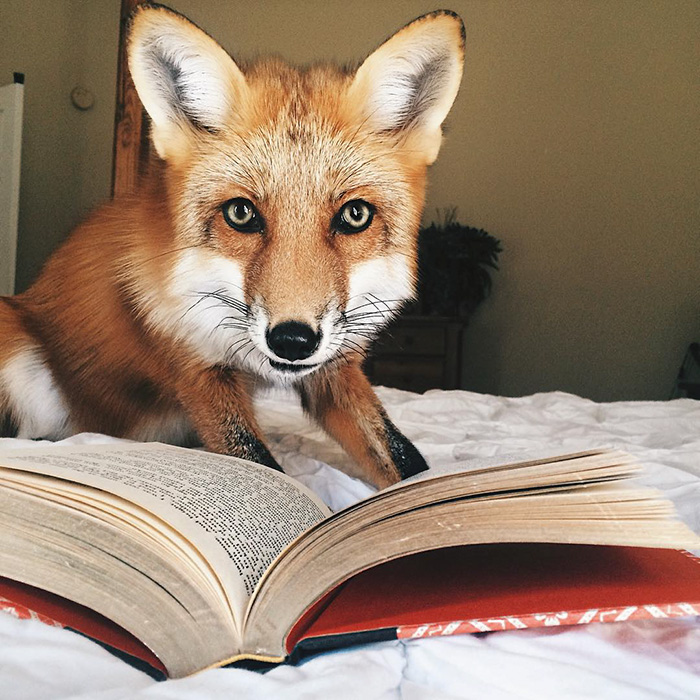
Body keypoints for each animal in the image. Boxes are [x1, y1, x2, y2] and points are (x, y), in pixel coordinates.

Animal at [0, 4, 465, 488]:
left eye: (355, 216)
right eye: (240, 214)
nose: (293, 340)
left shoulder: (334, 369)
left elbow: (406, 459)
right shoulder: (197, 370)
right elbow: (259, 466)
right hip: (12, 338)